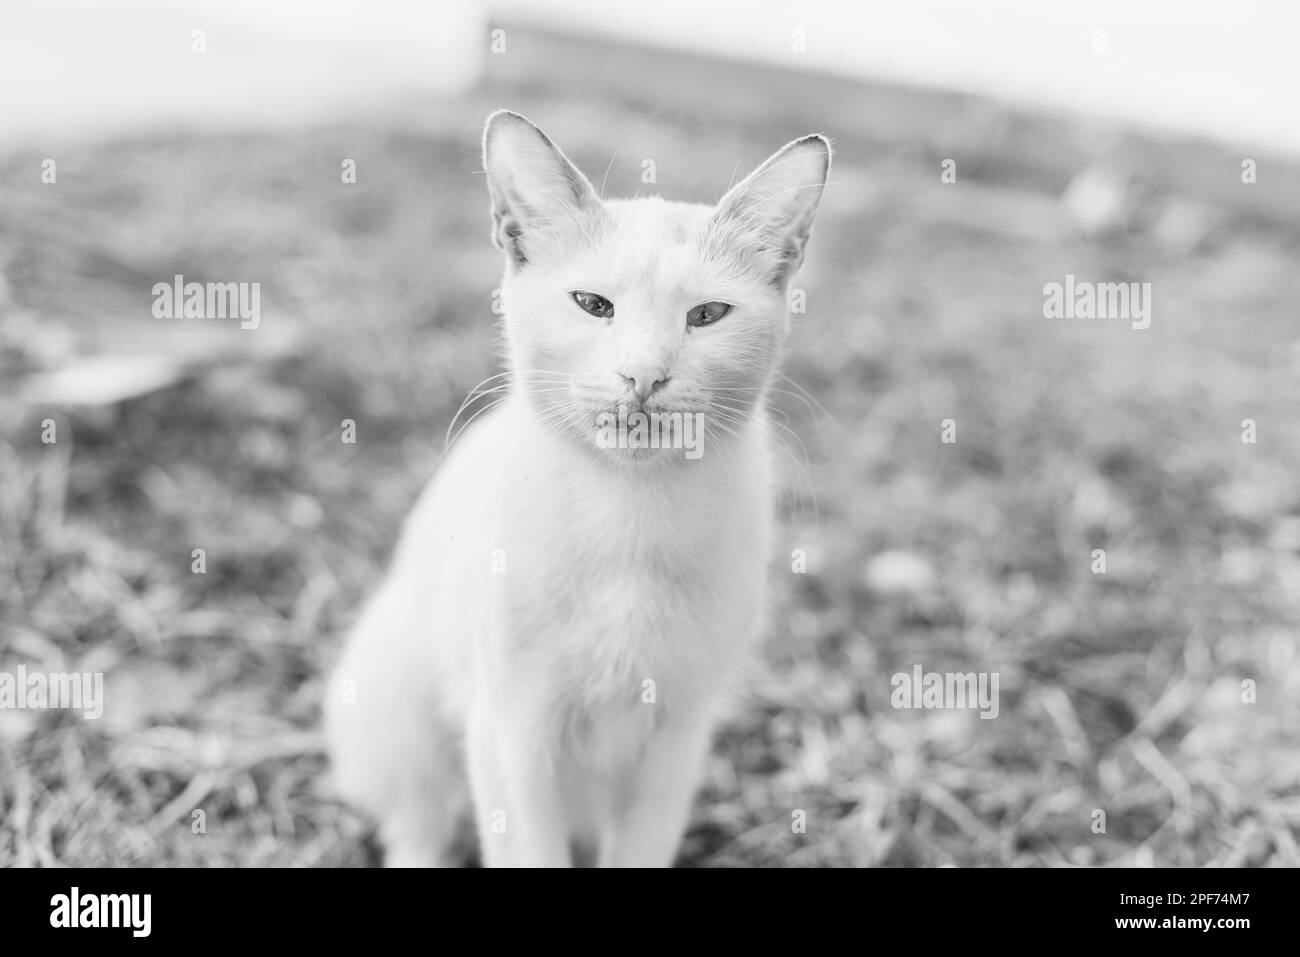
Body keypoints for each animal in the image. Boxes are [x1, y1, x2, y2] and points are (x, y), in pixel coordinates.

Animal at [327, 111, 832, 868]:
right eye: (594, 306)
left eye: (707, 315)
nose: (644, 375)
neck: (630, 512)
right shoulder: (513, 732)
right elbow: (531, 852)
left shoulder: (676, 740)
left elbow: (641, 852)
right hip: (397, 698)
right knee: (417, 822)